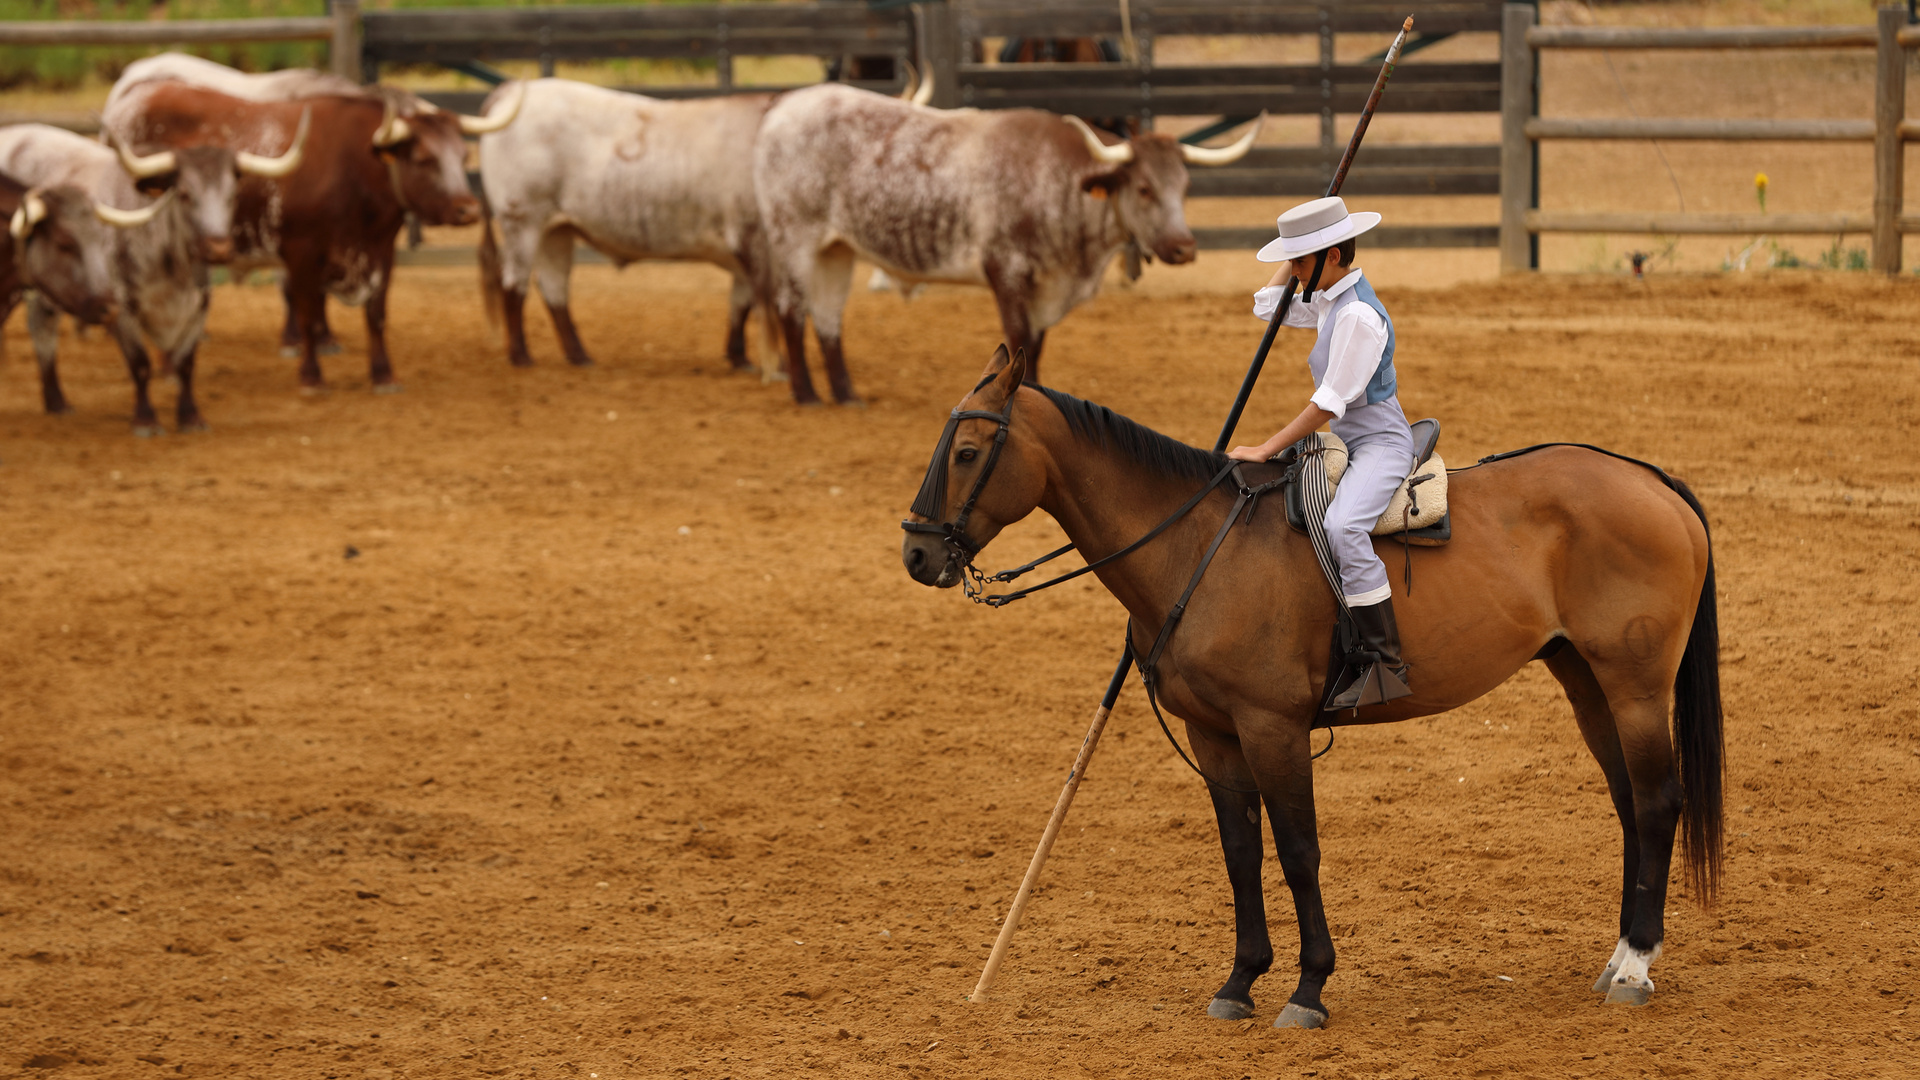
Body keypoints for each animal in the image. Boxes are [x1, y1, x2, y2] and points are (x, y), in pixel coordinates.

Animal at [0, 121, 299, 428]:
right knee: (43, 329)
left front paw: (190, 415)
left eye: (233, 196)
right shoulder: (122, 310)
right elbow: (140, 363)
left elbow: (185, 363)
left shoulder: (199, 308)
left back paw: (55, 401)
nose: (218, 247)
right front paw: (146, 419)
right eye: (184, 194)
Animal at [103, 70, 526, 386]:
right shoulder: (301, 252)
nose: (468, 209)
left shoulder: (382, 250)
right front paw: (311, 374)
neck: (354, 165)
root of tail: (130, 98)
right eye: (423, 158)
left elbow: (376, 314)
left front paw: (383, 374)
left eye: (462, 155)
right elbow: (306, 312)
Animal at [748, 84, 1259, 403]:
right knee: (791, 310)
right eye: (1145, 188)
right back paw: (807, 394)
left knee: (828, 319)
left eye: (1185, 186)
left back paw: (846, 394)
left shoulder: (1046, 286)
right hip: (795, 239)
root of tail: (782, 108)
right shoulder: (1007, 271)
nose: (1184, 247)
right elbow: (1019, 340)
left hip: (835, 249)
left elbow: (1037, 343)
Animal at [898, 343, 1728, 1022]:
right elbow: (1241, 852)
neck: (1198, 545)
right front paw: (1240, 981)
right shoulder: (1214, 732)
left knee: (1658, 801)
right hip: (1585, 680)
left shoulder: (1273, 726)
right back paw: (1619, 956)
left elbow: (1298, 850)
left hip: (1634, 686)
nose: (917, 555)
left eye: (967, 451)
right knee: (1629, 803)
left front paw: (1307, 988)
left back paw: (1636, 967)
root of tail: (1650, 478)